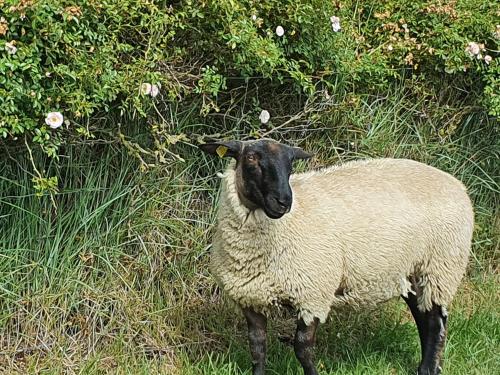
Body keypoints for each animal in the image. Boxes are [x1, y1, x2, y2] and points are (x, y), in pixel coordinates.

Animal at [199, 139, 472, 375]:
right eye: (251, 158)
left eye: (290, 165)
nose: (284, 201)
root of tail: (456, 183)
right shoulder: (250, 297)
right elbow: (257, 347)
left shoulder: (313, 294)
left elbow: (302, 348)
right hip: (413, 270)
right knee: (423, 318)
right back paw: (425, 367)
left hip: (440, 266)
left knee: (436, 322)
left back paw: (429, 369)